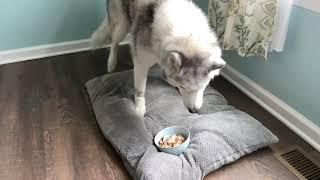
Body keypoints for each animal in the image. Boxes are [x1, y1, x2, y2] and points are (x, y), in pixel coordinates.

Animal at [90, 0, 225, 116]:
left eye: (204, 86)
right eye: (183, 87)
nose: (194, 110)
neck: (188, 36)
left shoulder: (162, 54)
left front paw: (169, 80)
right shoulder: (142, 64)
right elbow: (140, 89)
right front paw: (139, 108)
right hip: (123, 25)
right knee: (114, 41)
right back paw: (111, 63)